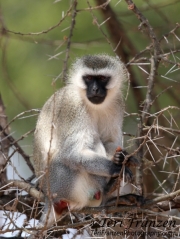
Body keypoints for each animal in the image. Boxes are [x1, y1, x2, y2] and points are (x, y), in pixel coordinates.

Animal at [33, 54, 141, 230]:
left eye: (102, 78)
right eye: (89, 78)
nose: (95, 89)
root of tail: (48, 199)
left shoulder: (117, 103)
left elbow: (109, 140)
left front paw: (123, 157)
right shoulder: (74, 107)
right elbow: (71, 154)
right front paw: (116, 167)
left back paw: (110, 197)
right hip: (59, 186)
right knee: (83, 146)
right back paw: (108, 188)